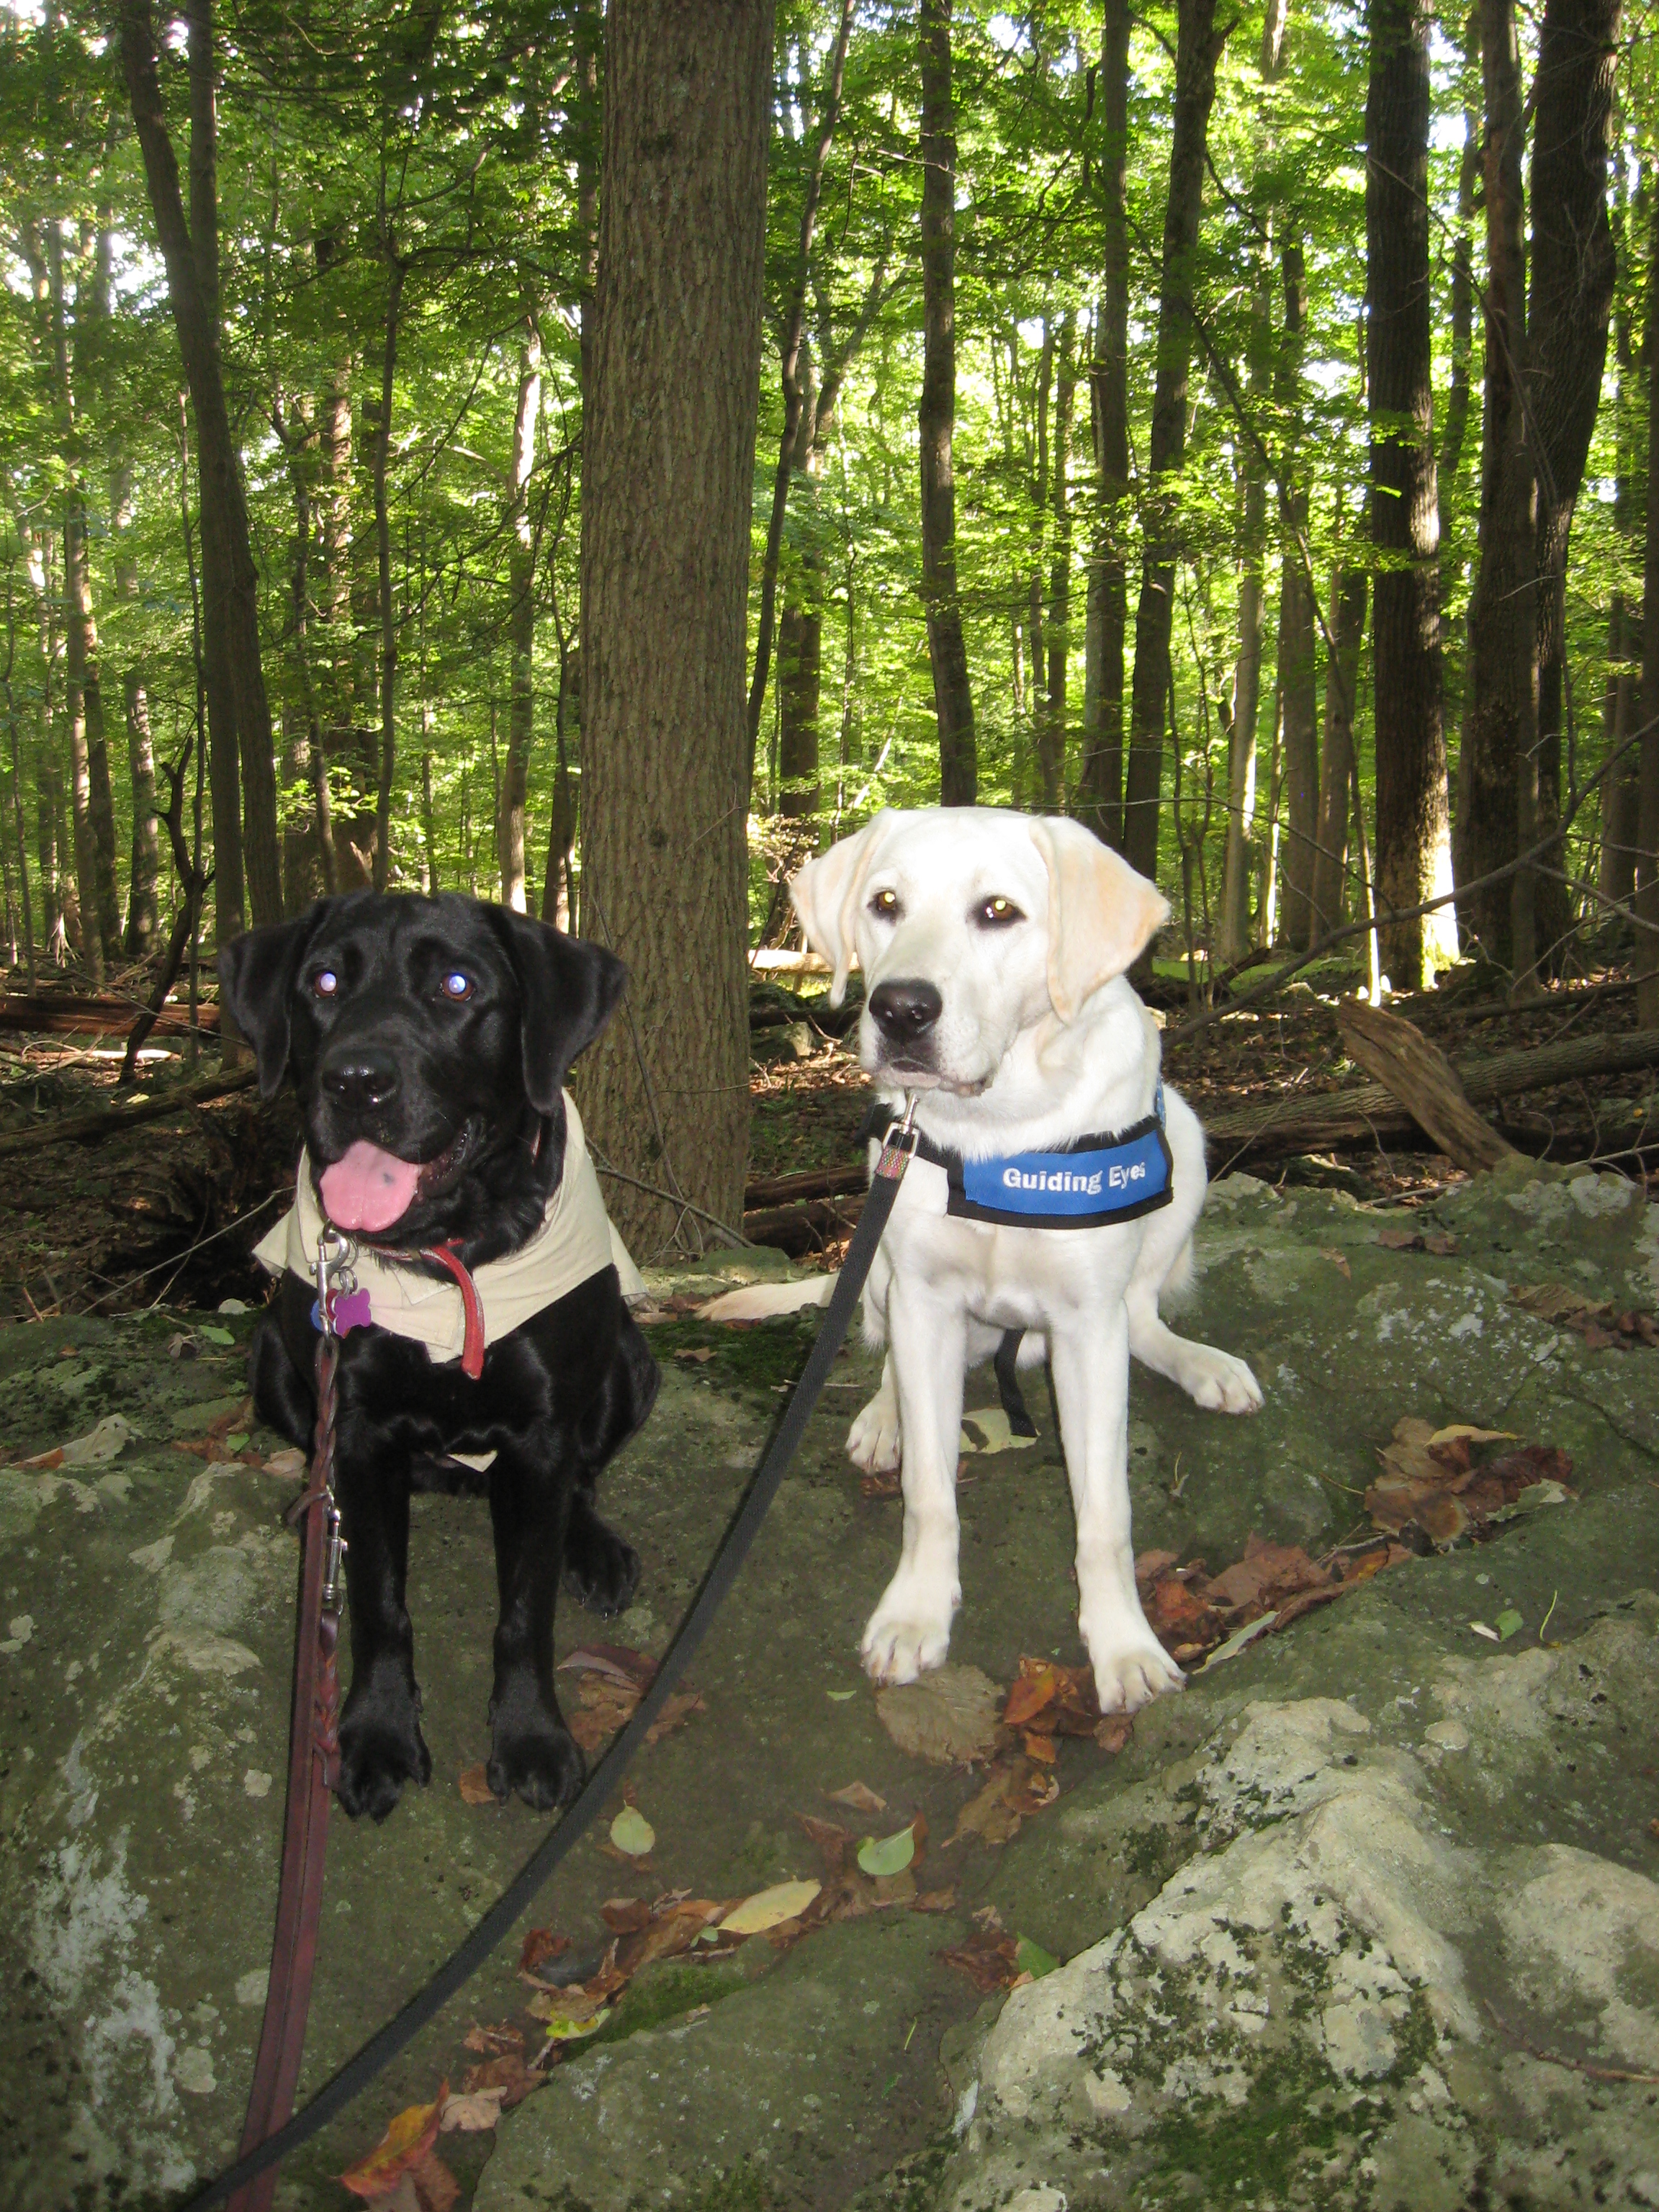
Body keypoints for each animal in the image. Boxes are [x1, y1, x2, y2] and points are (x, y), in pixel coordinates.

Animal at [219, 889, 655, 1822]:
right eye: (324, 981)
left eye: (457, 985)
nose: (355, 1081)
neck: (448, 1248)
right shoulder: (357, 1429)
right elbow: (379, 1602)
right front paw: (377, 1733)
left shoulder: (542, 1432)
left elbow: (524, 1610)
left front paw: (530, 1736)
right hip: (271, 1360)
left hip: (632, 1364)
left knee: (585, 1482)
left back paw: (594, 1549)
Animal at [721, 809, 1256, 1707]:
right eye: (885, 903)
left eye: (999, 912)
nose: (899, 1010)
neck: (1003, 1126)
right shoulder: (924, 1295)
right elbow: (930, 1495)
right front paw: (915, 1612)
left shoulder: (1087, 1326)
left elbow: (1105, 1517)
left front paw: (1124, 1647)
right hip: (880, 1232)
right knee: (888, 1357)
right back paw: (885, 1420)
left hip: (1184, 1140)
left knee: (1145, 1316)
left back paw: (1201, 1362)